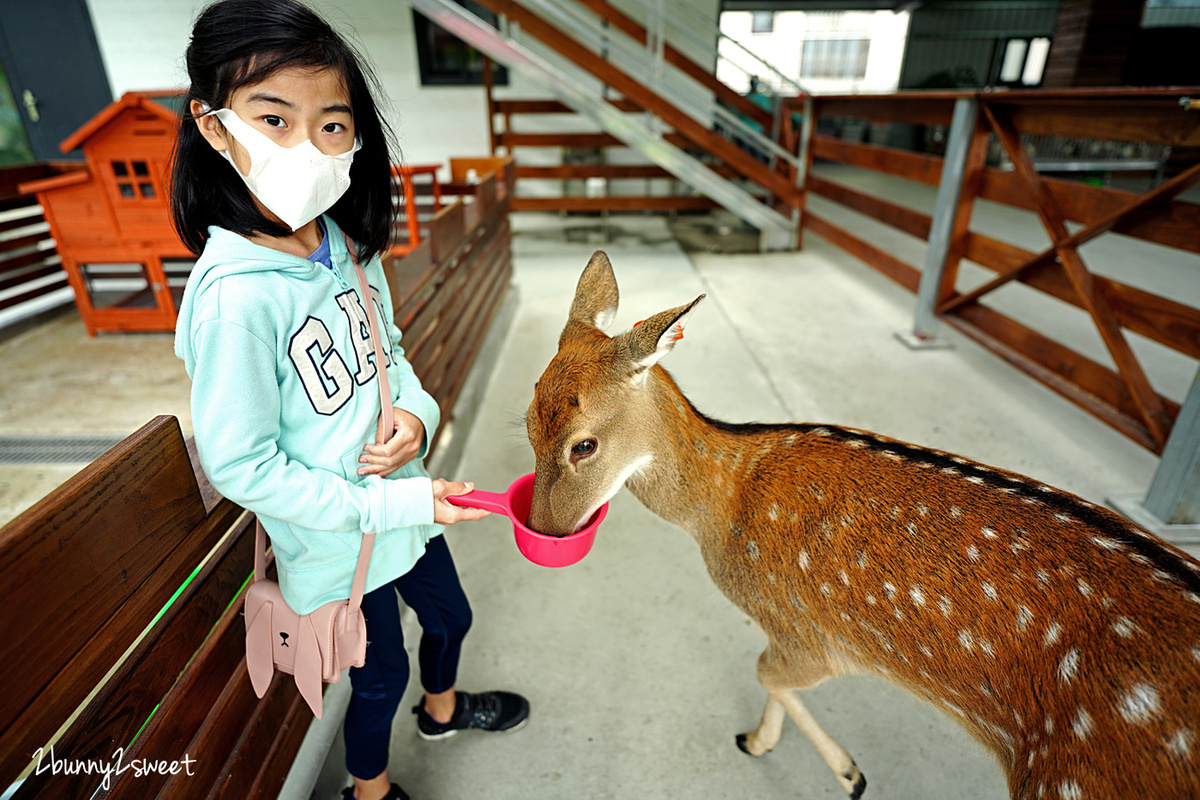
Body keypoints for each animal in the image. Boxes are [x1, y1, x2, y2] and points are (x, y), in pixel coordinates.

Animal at [525, 251, 1200, 800]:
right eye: (527, 424)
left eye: (584, 444)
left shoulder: (809, 633)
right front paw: (772, 744)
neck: (723, 504)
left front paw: (836, 770)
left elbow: (765, 672)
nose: (543, 534)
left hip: (1067, 780)